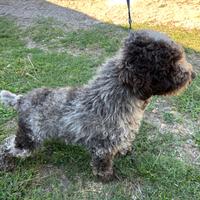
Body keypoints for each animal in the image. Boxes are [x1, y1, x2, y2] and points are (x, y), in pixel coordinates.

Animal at [0, 29, 195, 181]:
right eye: (171, 62)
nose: (192, 75)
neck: (112, 98)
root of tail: (21, 99)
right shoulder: (103, 148)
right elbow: (103, 166)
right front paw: (107, 177)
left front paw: (124, 151)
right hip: (28, 139)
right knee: (7, 146)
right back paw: (6, 164)